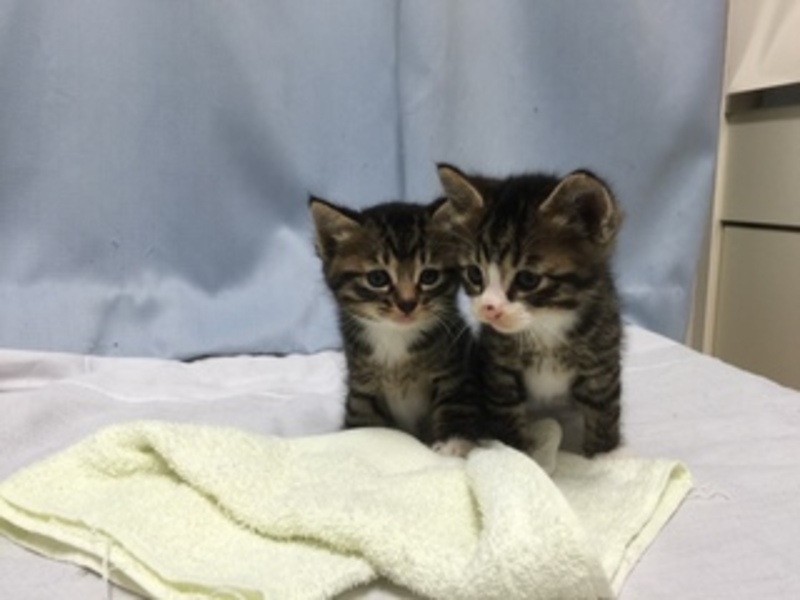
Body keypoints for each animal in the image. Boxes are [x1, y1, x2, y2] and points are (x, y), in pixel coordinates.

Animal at [309, 195, 480, 456]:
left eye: (429, 276)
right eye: (377, 278)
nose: (407, 304)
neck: (395, 337)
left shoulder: (454, 368)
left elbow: (455, 402)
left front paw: (452, 445)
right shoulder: (363, 384)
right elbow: (362, 417)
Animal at [434, 163, 624, 457]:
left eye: (527, 279)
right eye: (475, 274)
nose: (489, 308)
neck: (546, 326)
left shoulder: (601, 360)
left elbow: (603, 410)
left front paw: (604, 457)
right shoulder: (498, 367)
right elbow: (507, 414)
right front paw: (519, 455)